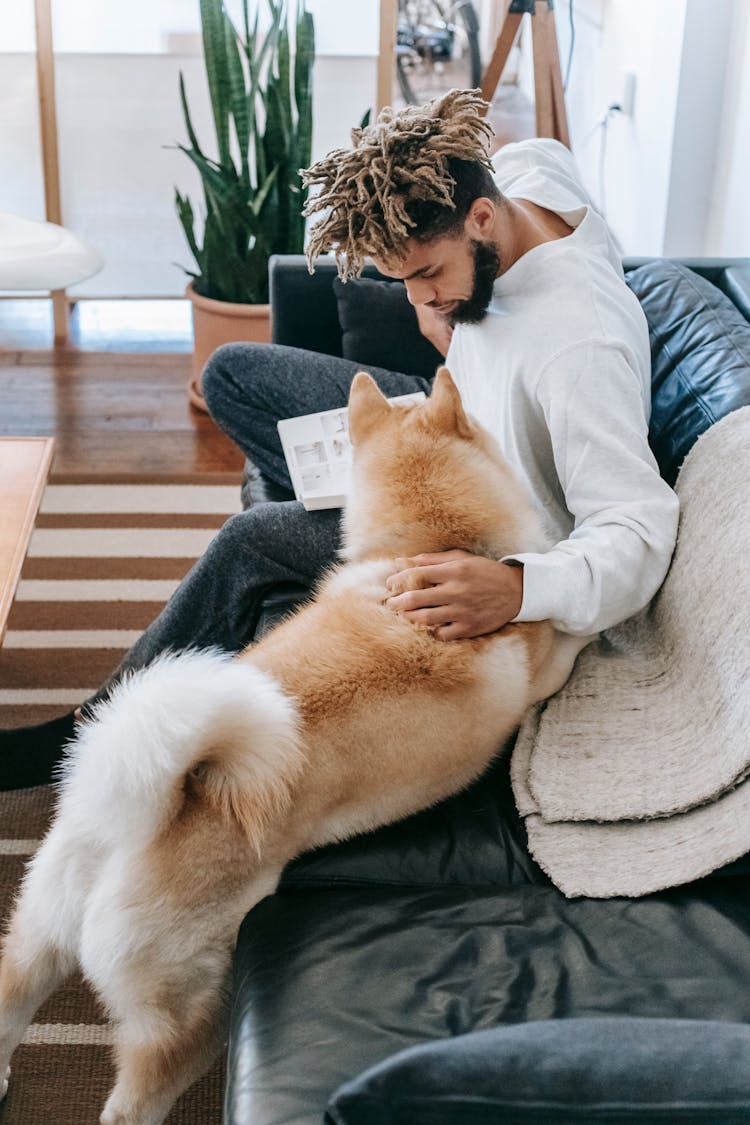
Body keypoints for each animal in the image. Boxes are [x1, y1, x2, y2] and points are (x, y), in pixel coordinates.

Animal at [0, 364, 593, 1120]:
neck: (422, 549)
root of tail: (145, 812)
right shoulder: (547, 664)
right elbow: (569, 627)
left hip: (38, 939)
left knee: (8, 1004)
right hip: (194, 1004)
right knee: (132, 1101)